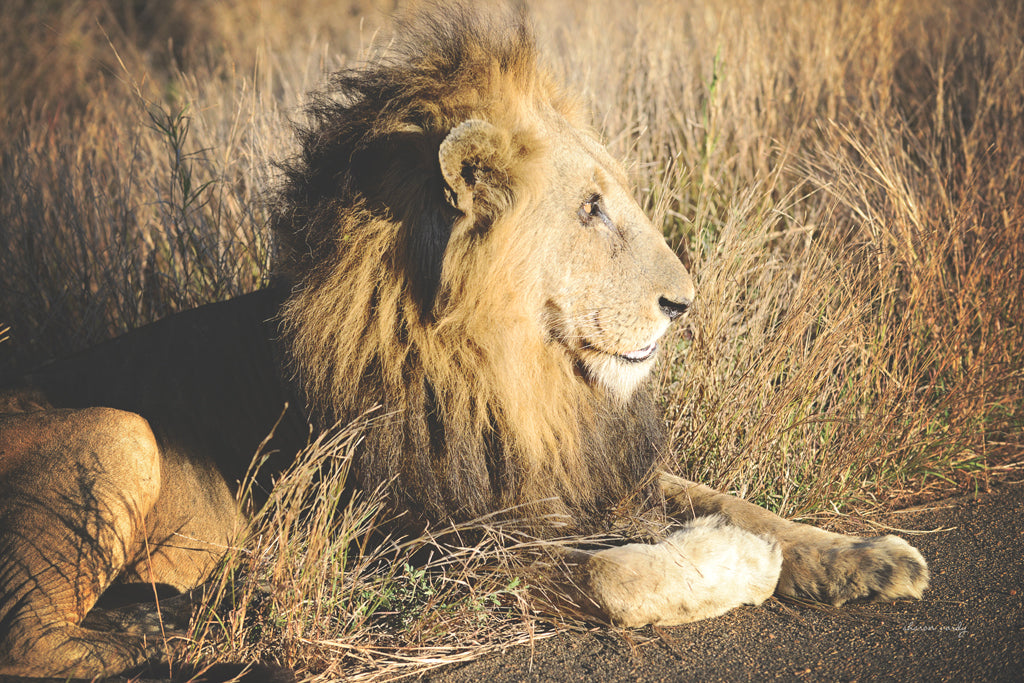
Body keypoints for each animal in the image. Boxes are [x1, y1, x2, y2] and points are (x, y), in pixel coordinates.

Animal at [0, 5, 929, 679]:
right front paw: (742, 561)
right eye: (590, 208)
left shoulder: (582, 478)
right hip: (121, 431)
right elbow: (615, 573)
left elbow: (739, 499)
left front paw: (867, 557)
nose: (684, 303)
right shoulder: (425, 550)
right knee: (34, 647)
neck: (513, 375)